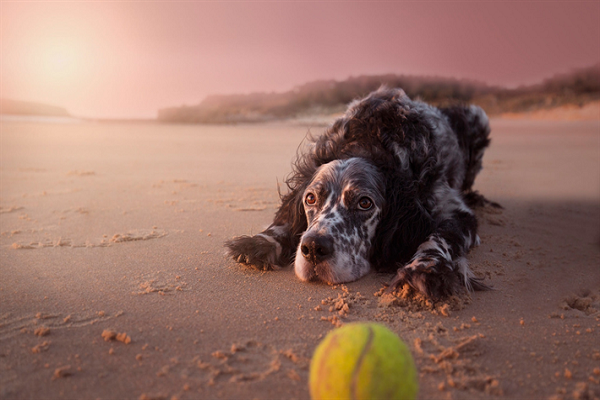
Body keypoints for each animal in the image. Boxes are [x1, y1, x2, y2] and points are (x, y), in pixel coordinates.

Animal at [225, 88, 492, 300]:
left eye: (365, 203)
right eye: (310, 198)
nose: (313, 248)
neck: (371, 144)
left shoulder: (454, 209)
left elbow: (439, 237)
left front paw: (425, 269)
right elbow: (286, 223)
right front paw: (262, 241)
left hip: (479, 116)